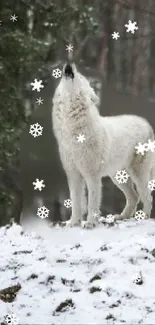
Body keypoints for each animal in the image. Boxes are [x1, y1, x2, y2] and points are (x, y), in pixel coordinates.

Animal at [52, 62, 155, 227]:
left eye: (80, 77)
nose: (68, 65)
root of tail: (146, 124)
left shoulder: (92, 175)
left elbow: (92, 202)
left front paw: (90, 223)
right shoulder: (73, 174)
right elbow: (75, 201)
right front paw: (73, 223)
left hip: (138, 174)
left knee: (147, 197)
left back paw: (143, 218)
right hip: (118, 177)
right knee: (134, 196)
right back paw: (122, 216)